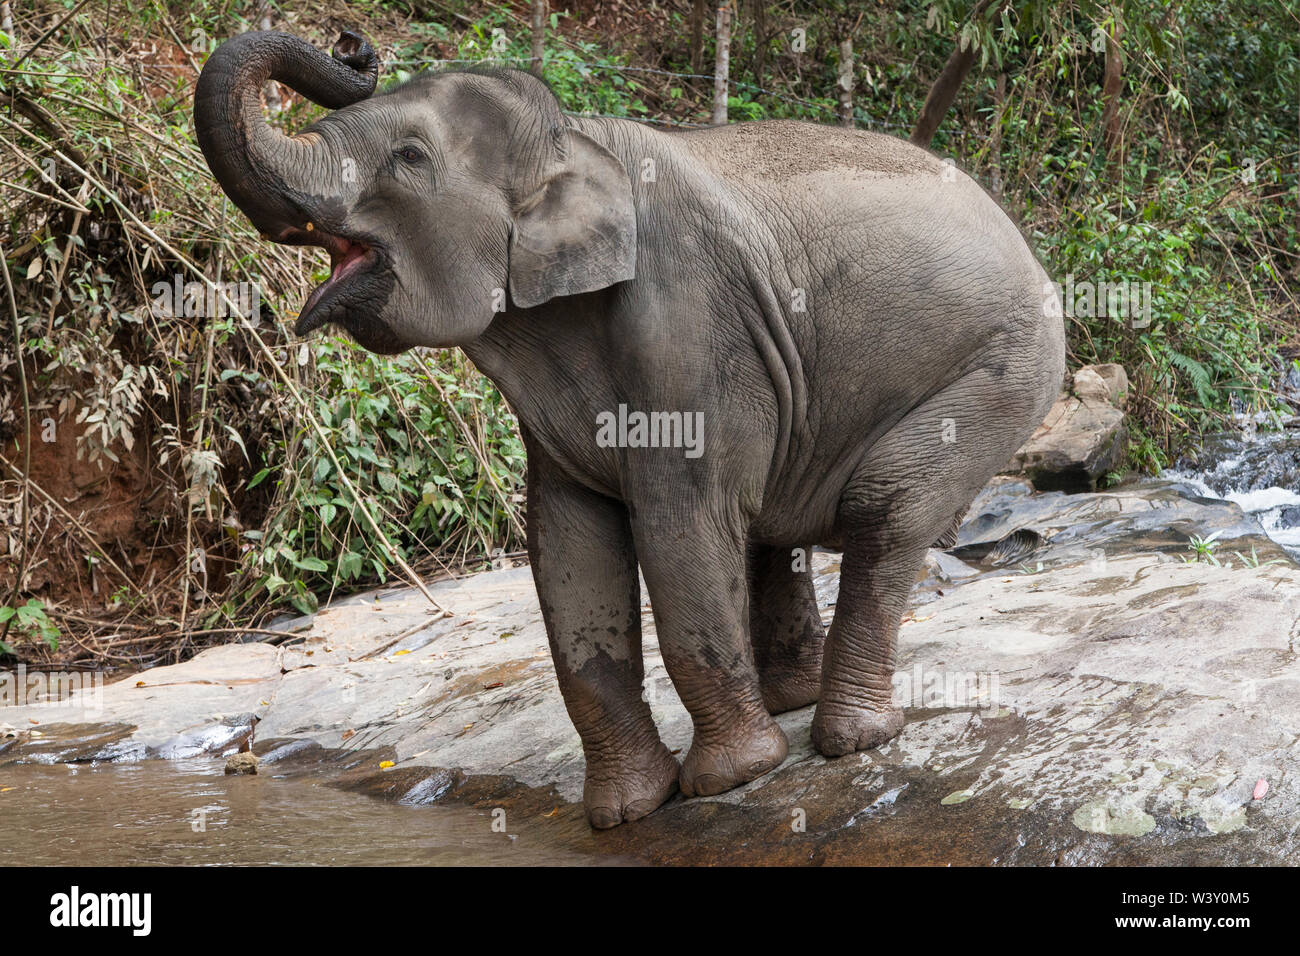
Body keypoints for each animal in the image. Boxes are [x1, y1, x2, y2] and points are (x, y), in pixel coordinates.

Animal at [195, 29, 1066, 832]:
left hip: (1008, 367)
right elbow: (568, 544)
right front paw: (625, 812)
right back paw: (794, 700)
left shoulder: (690, 318)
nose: (354, 44)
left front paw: (730, 779)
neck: (571, 138)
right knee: (770, 527)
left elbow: (680, 521)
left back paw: (854, 737)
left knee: (881, 508)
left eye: (408, 158)